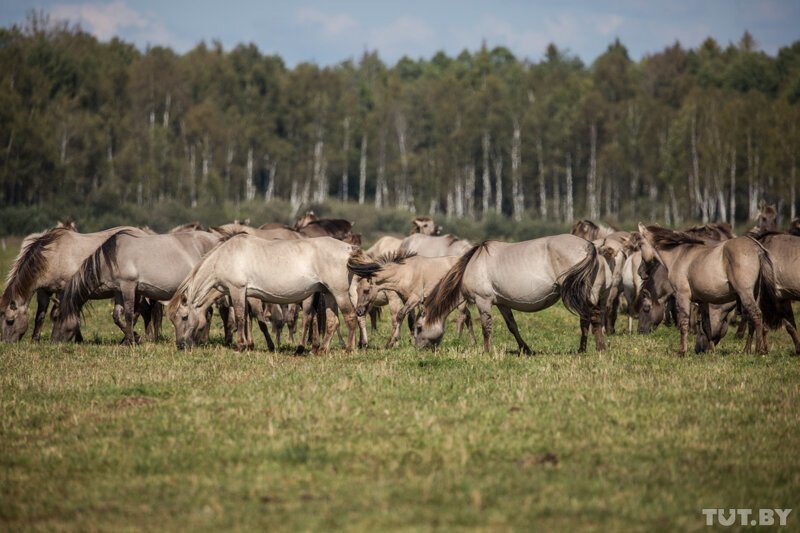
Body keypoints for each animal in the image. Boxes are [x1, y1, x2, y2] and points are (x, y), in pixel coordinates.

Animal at [51, 231, 220, 342]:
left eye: (57, 317)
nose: (54, 342)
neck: (112, 258)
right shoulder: (118, 290)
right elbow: (117, 316)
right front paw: (132, 338)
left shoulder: (129, 286)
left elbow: (129, 314)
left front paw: (131, 340)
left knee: (207, 312)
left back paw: (202, 340)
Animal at [167, 234, 358, 354]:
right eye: (173, 321)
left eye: (184, 317)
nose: (180, 345)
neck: (224, 256)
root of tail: (348, 248)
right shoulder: (244, 294)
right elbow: (245, 319)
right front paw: (247, 345)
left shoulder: (237, 289)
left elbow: (240, 318)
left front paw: (240, 346)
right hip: (328, 294)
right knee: (332, 321)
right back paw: (321, 350)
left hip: (338, 294)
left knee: (349, 317)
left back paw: (348, 349)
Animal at [416, 236, 604, 354]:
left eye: (418, 327)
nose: (417, 348)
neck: (472, 266)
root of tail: (588, 245)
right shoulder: (502, 303)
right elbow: (512, 326)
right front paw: (525, 349)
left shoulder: (483, 301)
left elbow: (486, 327)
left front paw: (486, 351)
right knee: (586, 319)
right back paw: (582, 350)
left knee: (593, 315)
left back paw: (599, 349)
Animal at [636, 222, 780, 356]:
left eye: (646, 308)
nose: (640, 272)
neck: (678, 256)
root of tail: (756, 248)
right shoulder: (702, 301)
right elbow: (707, 325)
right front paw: (711, 350)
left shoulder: (682, 296)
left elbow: (683, 322)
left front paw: (682, 351)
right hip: (754, 294)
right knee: (752, 319)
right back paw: (747, 350)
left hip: (745, 294)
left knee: (757, 315)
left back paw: (758, 350)